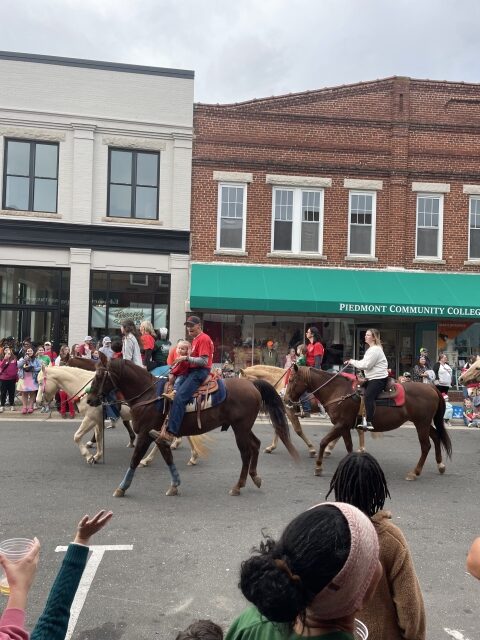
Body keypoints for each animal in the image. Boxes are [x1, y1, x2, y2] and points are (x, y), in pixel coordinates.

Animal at [86, 358, 296, 498]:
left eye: (99, 375)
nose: (89, 399)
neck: (149, 395)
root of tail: (251, 385)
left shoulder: (145, 434)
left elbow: (135, 459)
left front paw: (122, 487)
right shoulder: (158, 435)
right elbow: (168, 457)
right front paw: (174, 485)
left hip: (240, 428)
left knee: (246, 452)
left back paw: (238, 486)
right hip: (243, 427)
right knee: (255, 445)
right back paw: (254, 477)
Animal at [286, 364, 452, 480]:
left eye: (292, 380)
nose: (286, 399)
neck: (338, 391)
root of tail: (432, 388)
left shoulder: (341, 425)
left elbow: (323, 442)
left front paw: (319, 467)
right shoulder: (345, 427)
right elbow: (349, 446)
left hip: (421, 424)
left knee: (426, 446)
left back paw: (415, 472)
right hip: (424, 423)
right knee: (436, 437)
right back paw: (440, 465)